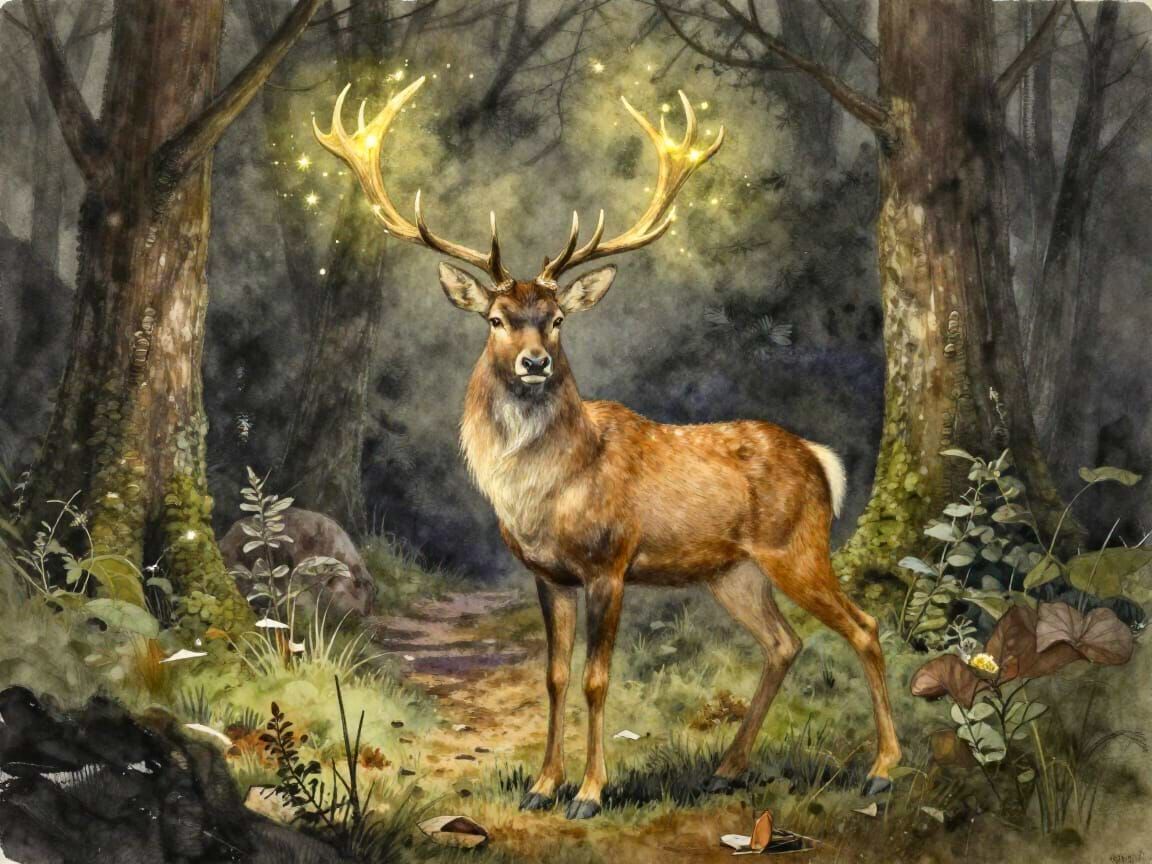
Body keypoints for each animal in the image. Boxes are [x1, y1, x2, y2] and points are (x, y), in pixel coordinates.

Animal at [314, 77, 901, 820]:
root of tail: (820, 459)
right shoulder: (547, 574)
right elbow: (554, 677)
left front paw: (590, 792)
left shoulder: (609, 562)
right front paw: (542, 785)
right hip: (731, 570)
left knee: (865, 625)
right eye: (496, 319)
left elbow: (597, 678)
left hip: (797, 545)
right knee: (783, 642)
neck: (547, 491)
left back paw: (882, 769)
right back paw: (727, 769)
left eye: (559, 319)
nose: (535, 362)